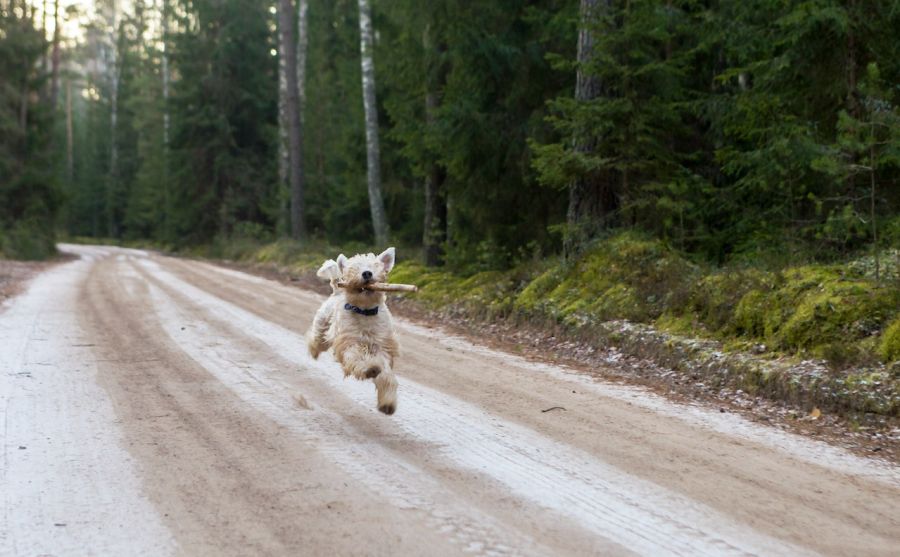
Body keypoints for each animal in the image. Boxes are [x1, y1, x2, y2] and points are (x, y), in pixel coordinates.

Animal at [306, 248, 398, 412]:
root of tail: (337, 291)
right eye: (354, 267)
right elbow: (356, 357)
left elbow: (386, 374)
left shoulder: (382, 347)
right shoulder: (349, 342)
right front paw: (370, 368)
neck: (365, 311)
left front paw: (387, 403)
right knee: (315, 340)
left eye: (375, 265)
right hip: (322, 328)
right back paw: (314, 351)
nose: (367, 273)